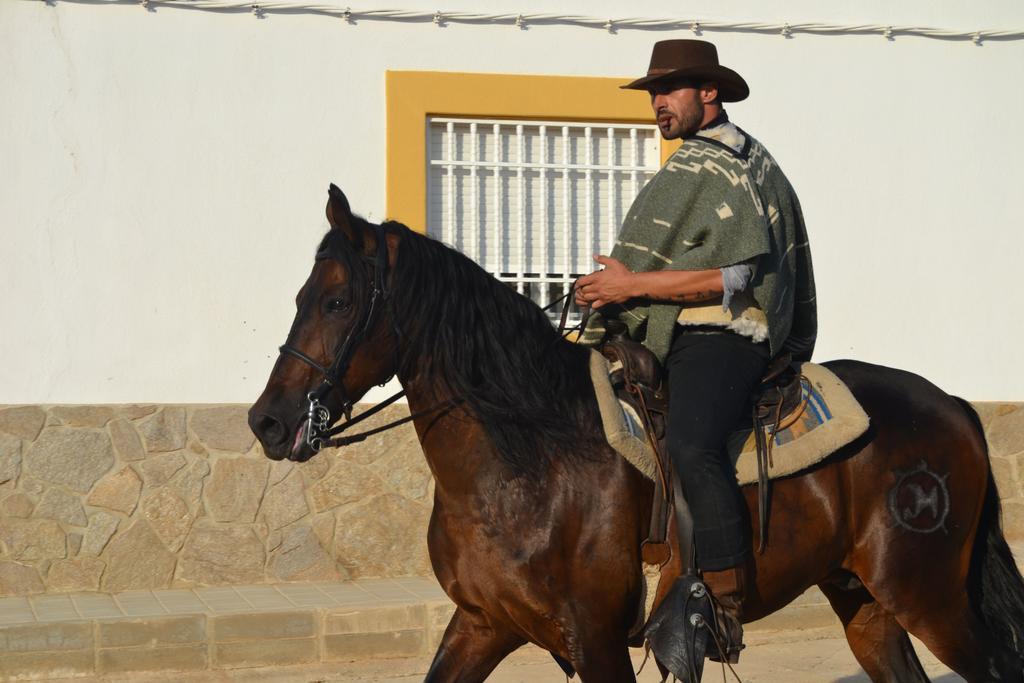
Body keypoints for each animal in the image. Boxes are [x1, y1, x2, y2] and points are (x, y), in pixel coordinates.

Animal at [247, 184, 1024, 679]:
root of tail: (952, 404)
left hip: (931, 597)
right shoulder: (482, 624)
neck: (528, 463)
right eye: (300, 296)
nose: (269, 421)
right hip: (866, 601)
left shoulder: (595, 640)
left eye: (337, 301)